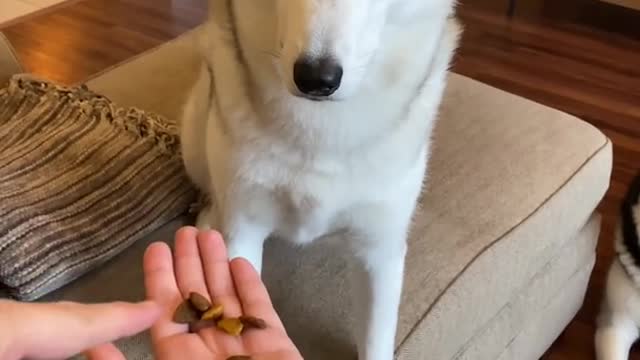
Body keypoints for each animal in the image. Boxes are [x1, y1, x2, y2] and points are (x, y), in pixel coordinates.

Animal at [180, 1, 460, 358]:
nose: (315, 78)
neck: (322, 131)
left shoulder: (380, 250)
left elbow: (376, 340)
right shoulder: (243, 229)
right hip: (194, 135)